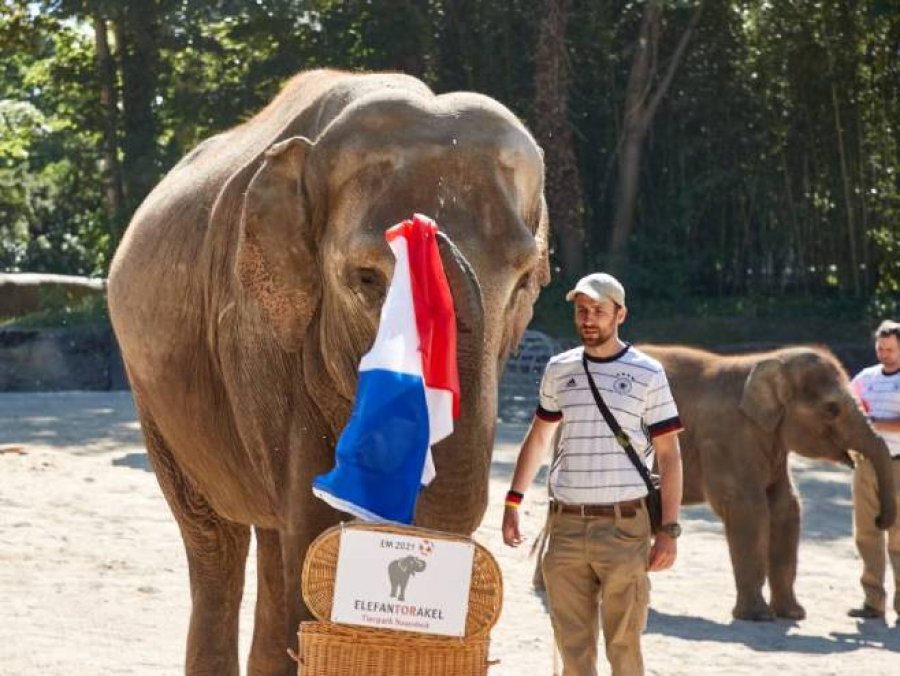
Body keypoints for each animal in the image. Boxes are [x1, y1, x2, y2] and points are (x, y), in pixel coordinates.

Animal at [105, 66, 548, 672]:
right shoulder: (259, 336)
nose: (423, 227)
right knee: (216, 542)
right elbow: (315, 519)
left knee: (271, 541)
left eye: (525, 280)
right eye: (366, 279)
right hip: (152, 395)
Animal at [640, 346, 900, 620]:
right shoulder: (727, 438)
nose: (878, 519)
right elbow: (749, 509)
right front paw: (758, 616)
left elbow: (786, 506)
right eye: (832, 409)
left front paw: (793, 614)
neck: (768, 360)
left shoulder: (773, 441)